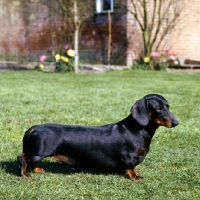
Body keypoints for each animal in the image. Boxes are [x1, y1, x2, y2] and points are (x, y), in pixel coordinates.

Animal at [18, 94, 179, 180]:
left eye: (168, 106)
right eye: (158, 108)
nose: (176, 122)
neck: (137, 129)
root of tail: (33, 128)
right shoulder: (128, 158)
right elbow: (130, 167)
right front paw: (135, 176)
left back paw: (38, 170)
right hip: (38, 153)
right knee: (22, 158)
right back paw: (25, 174)